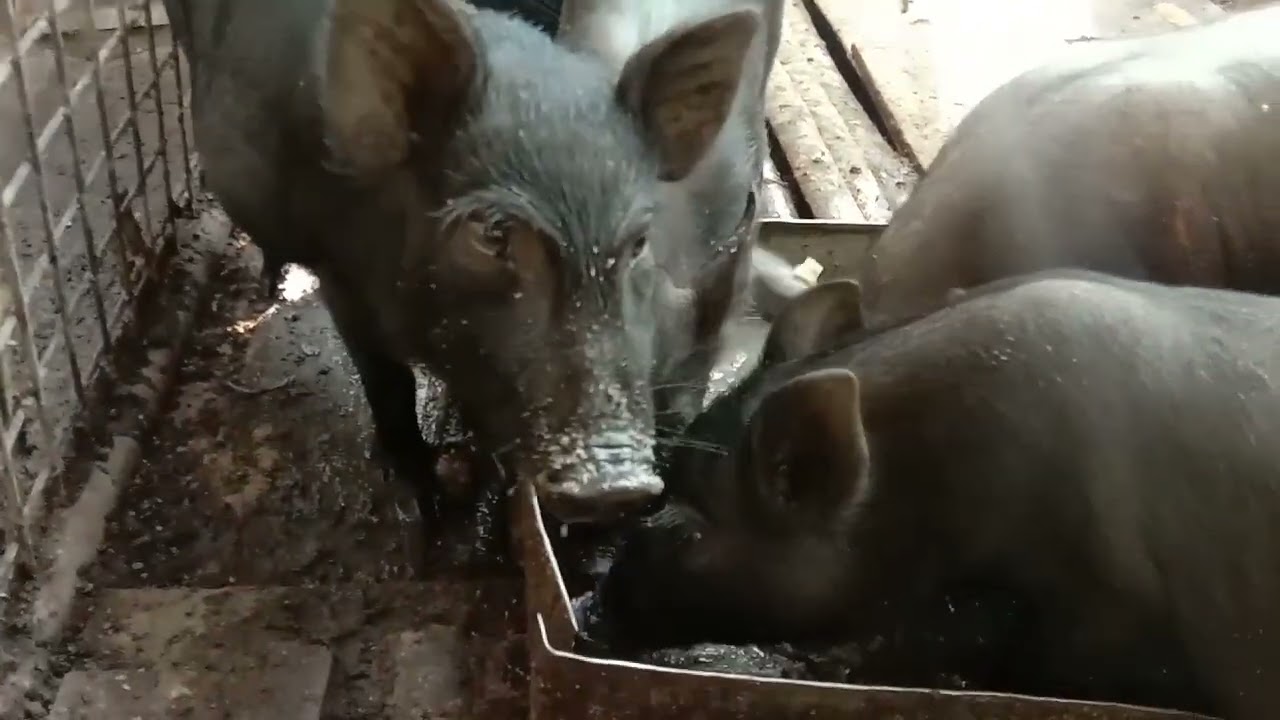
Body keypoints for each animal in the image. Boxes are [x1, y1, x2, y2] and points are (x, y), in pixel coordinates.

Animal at [161, 0, 764, 523]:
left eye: (639, 241)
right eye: (491, 233)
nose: (615, 484)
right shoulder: (340, 277)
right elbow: (387, 380)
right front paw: (426, 503)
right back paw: (270, 284)